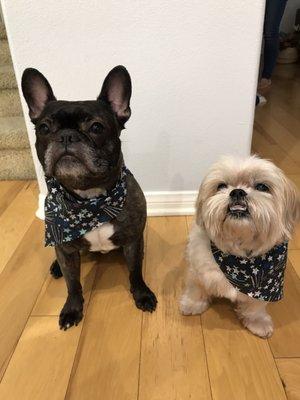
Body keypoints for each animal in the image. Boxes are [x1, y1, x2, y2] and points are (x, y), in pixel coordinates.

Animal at [180, 156, 300, 338]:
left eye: (262, 187)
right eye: (221, 186)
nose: (237, 192)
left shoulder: (265, 289)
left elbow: (255, 307)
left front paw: (257, 321)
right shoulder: (198, 273)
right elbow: (196, 289)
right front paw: (193, 304)